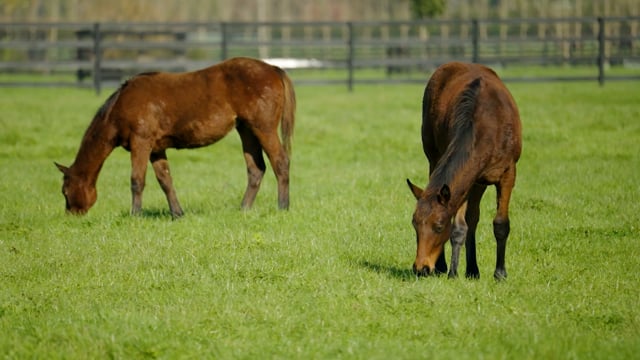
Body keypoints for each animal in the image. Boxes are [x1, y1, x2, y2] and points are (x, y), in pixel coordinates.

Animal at [55, 57, 296, 218]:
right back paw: (244, 208)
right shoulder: (156, 148)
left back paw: (283, 207)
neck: (121, 106)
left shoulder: (141, 143)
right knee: (256, 169)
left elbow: (137, 180)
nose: (71, 216)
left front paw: (135, 215)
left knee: (280, 162)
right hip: (246, 130)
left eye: (65, 191)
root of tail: (273, 68)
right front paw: (177, 213)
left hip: (263, 128)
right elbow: (165, 180)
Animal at [408, 62, 524, 282]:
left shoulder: (508, 173)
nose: (421, 268)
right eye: (414, 224)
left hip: (479, 181)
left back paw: (472, 270)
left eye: (438, 226)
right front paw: (452, 271)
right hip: (435, 158)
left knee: (474, 217)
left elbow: (500, 224)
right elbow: (458, 227)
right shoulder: (465, 183)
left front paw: (500, 273)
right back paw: (453, 267)